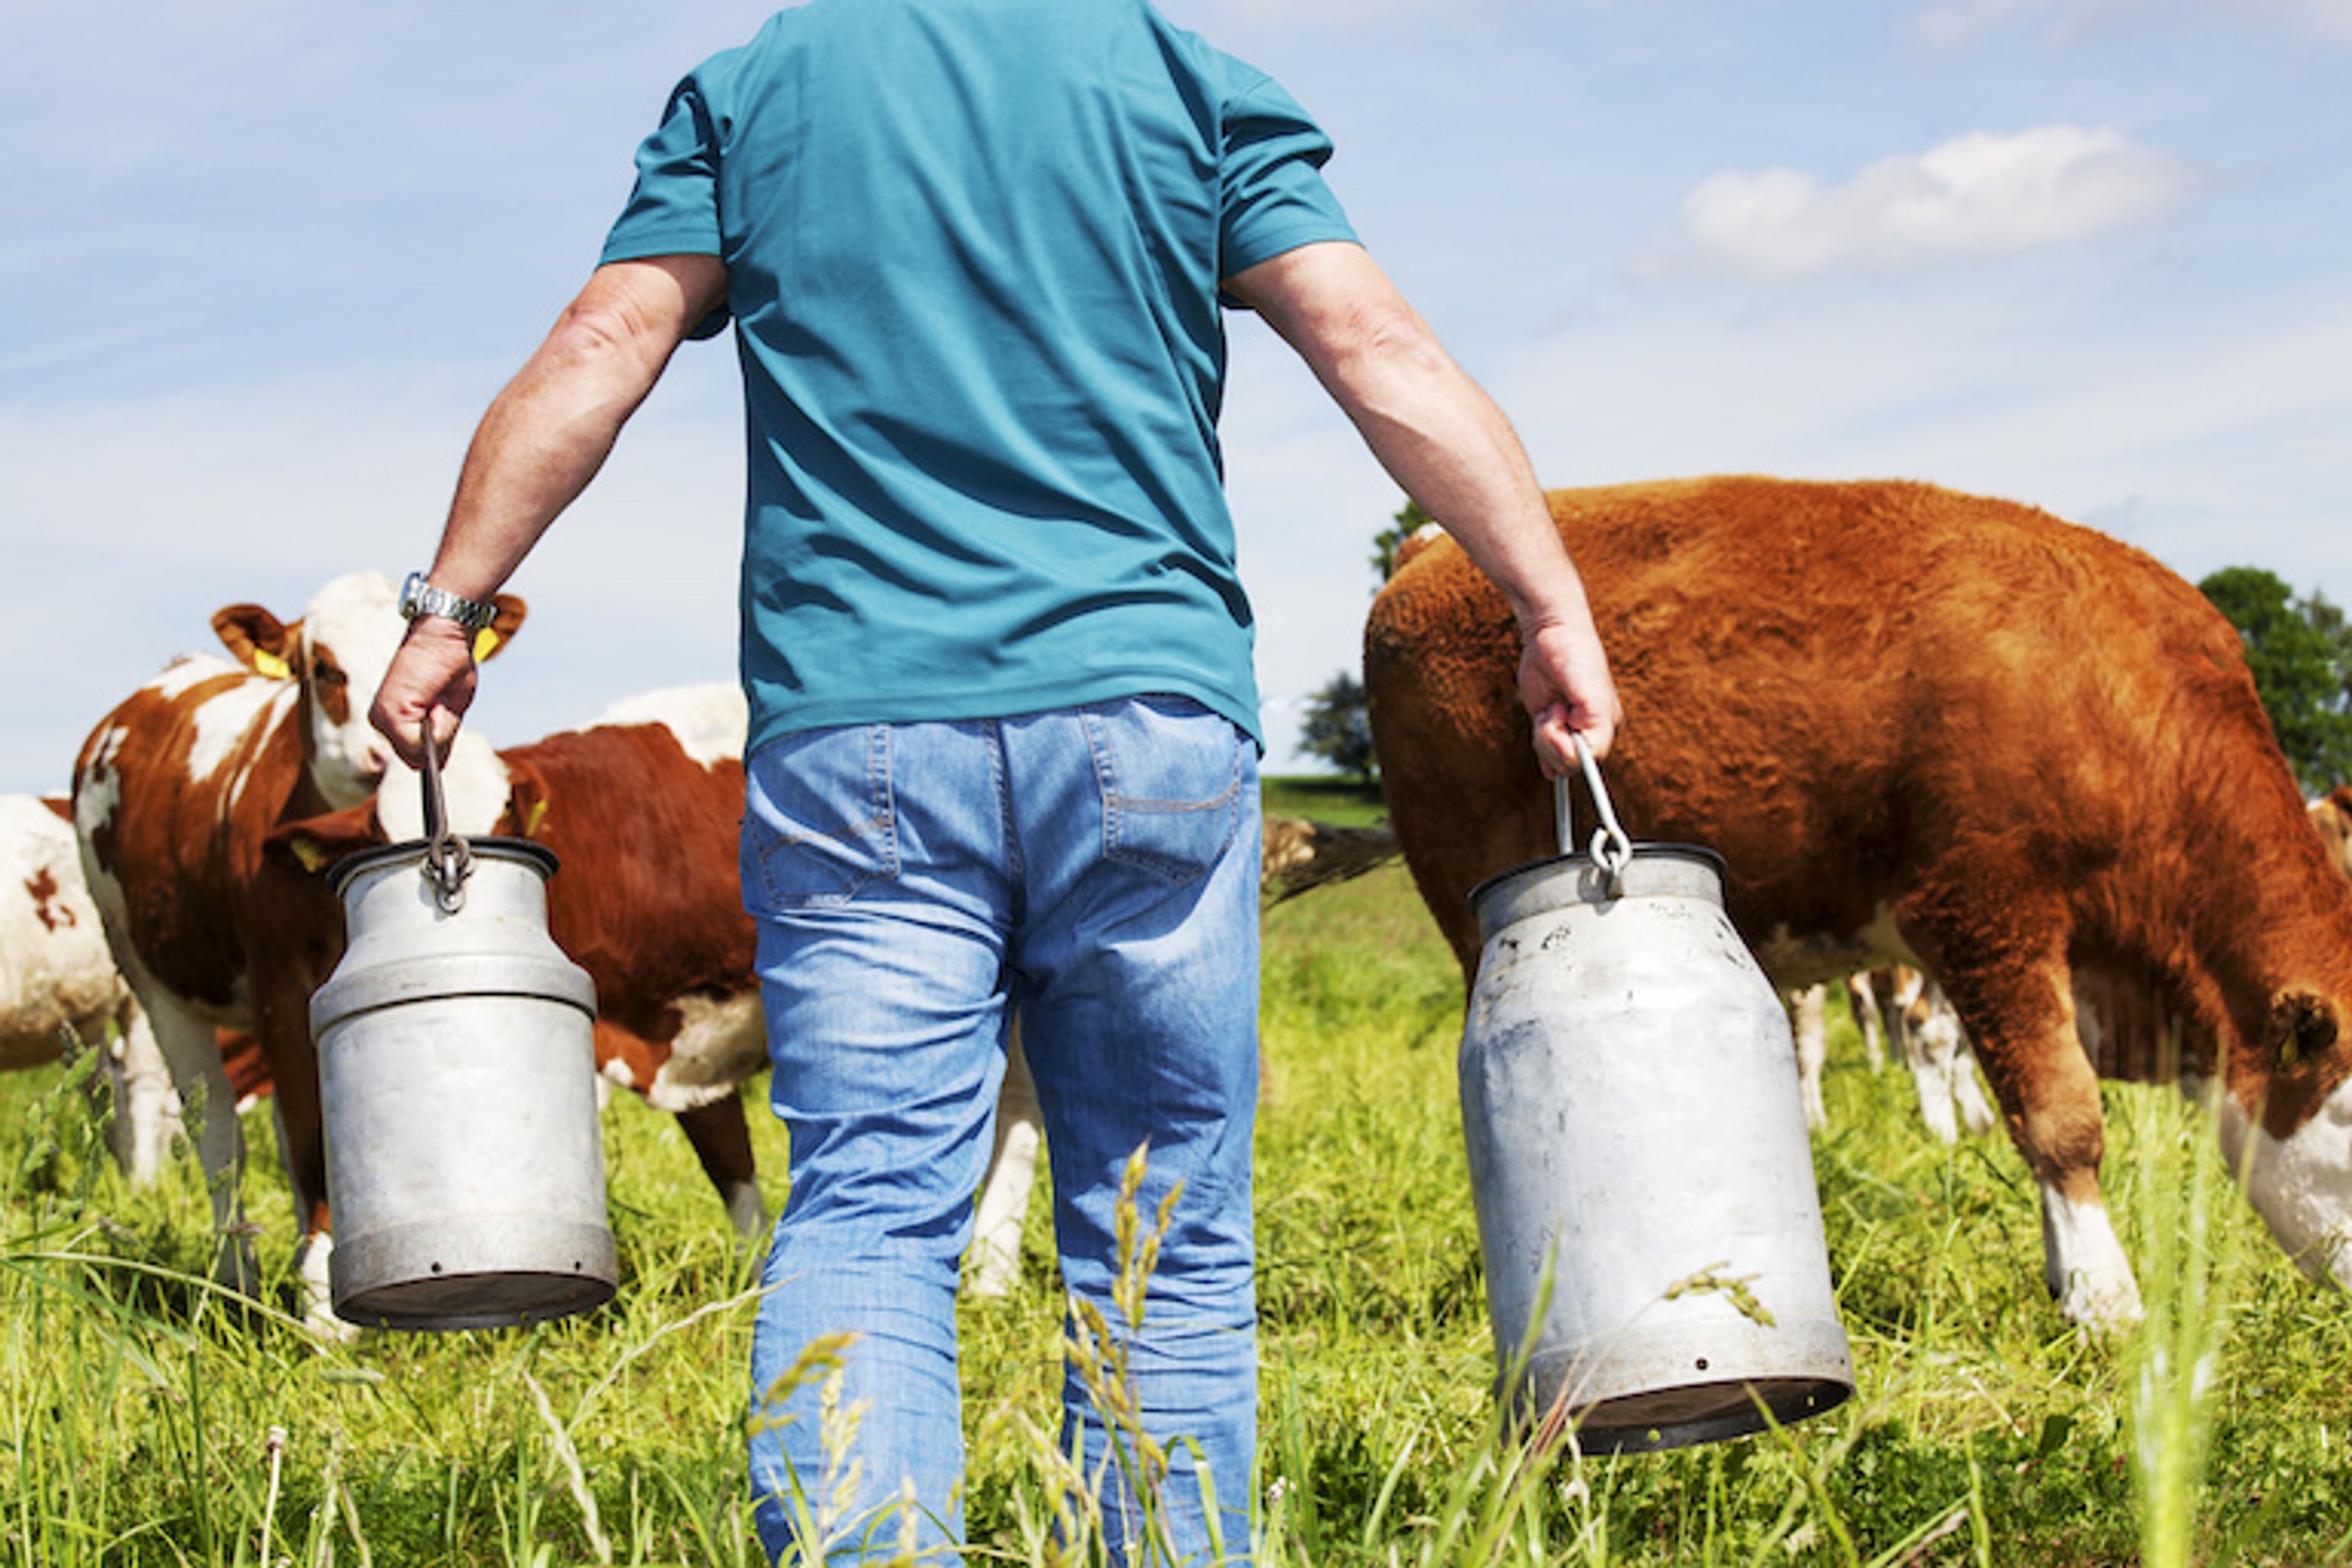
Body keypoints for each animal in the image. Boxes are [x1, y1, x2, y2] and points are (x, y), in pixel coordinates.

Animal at [74, 571, 524, 1316]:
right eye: (325, 669)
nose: (378, 753)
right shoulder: (280, 987)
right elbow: (309, 1139)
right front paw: (323, 1307)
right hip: (153, 985)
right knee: (216, 1131)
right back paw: (238, 1275)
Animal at [1374, 475, 2352, 1325]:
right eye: (2347, 1117)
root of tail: (1426, 549)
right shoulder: (1985, 909)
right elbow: (2059, 1114)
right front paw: (2104, 1301)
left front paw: (2063, 1273)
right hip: (1474, 905)